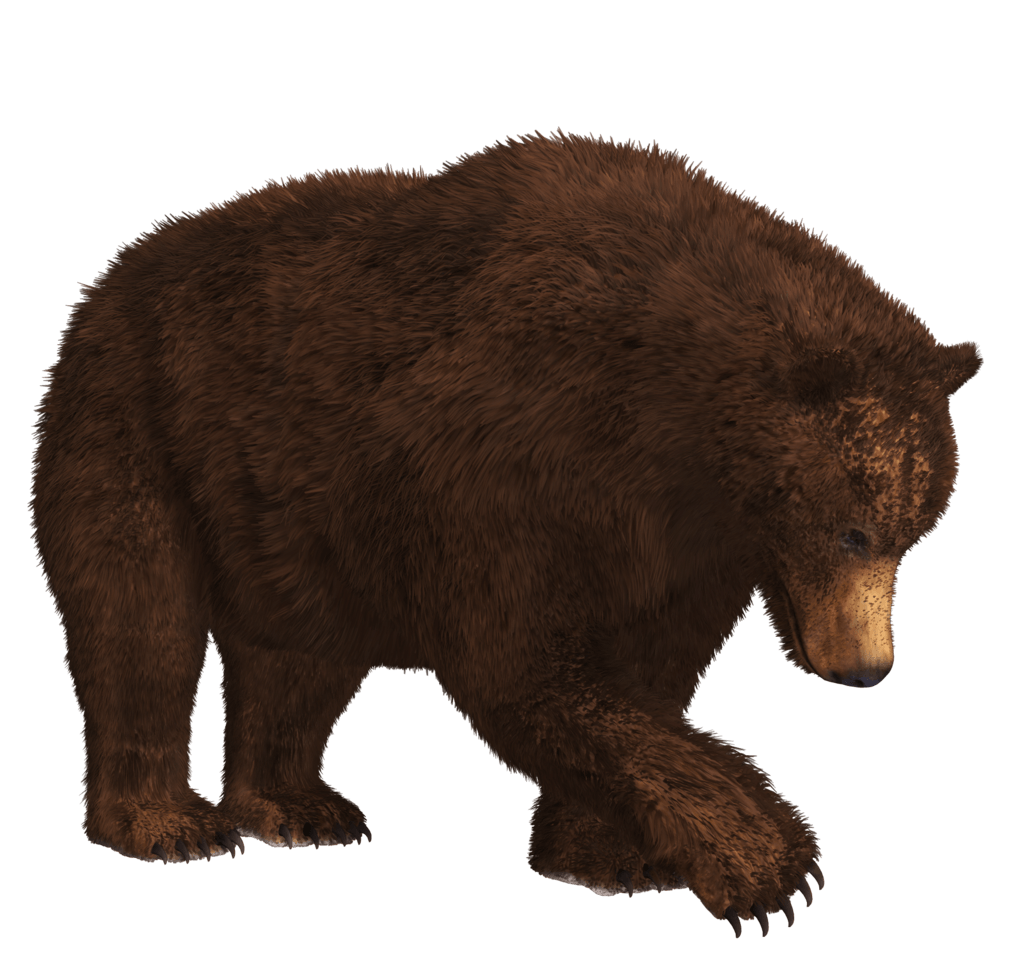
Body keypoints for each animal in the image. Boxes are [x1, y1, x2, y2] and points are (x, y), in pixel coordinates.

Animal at [29, 129, 982, 937]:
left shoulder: (684, 554)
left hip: (289, 519)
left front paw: (605, 856)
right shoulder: (503, 465)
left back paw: (295, 807)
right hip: (140, 429)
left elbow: (647, 670)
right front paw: (767, 864)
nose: (864, 671)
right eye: (853, 533)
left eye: (915, 535)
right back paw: (167, 823)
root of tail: (110, 278)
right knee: (141, 626)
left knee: (299, 659)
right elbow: (523, 669)